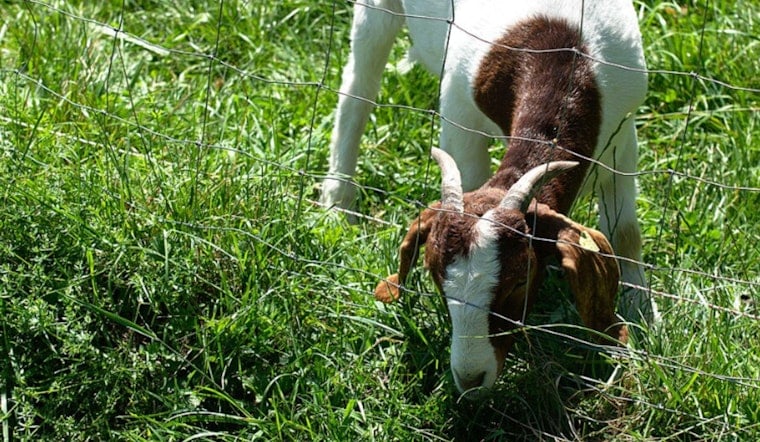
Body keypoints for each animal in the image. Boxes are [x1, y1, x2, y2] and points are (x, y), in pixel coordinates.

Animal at [321, 0, 658, 392]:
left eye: (520, 280)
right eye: (436, 277)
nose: (470, 378)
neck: (562, 60)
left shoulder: (623, 135)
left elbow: (625, 233)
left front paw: (642, 314)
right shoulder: (459, 120)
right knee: (359, 88)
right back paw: (337, 202)